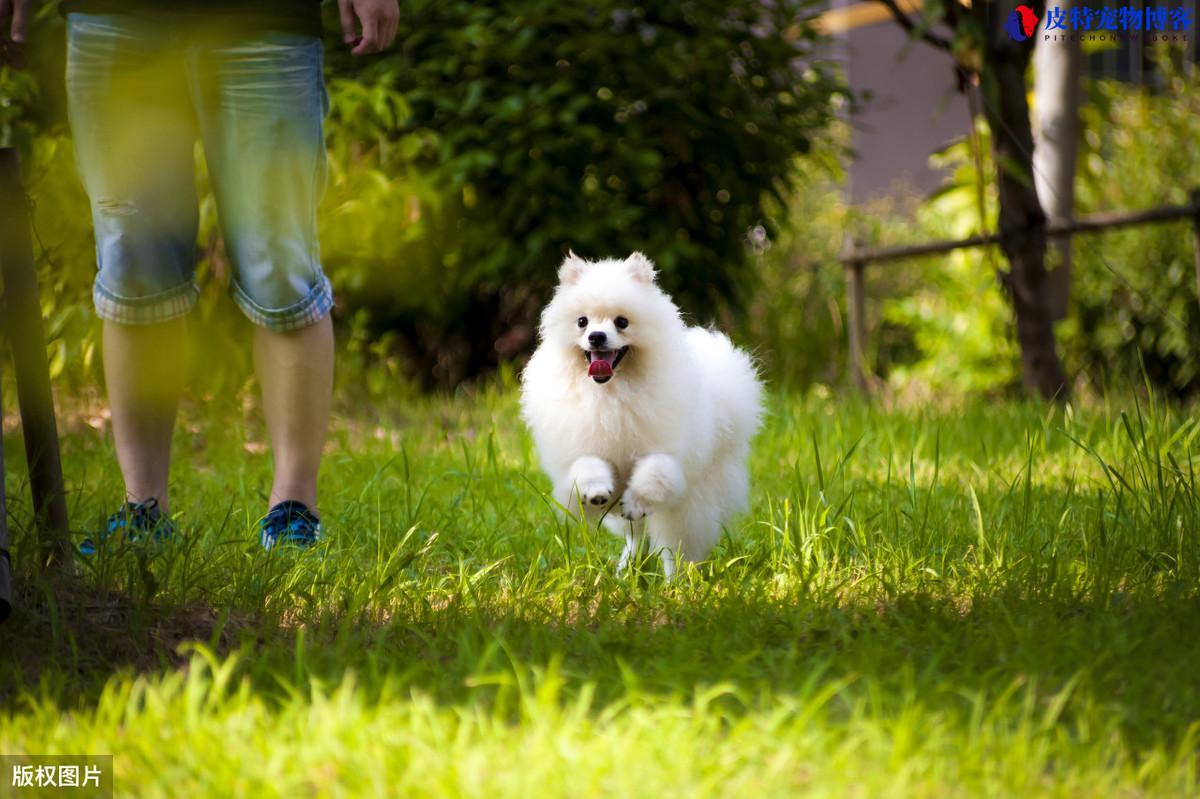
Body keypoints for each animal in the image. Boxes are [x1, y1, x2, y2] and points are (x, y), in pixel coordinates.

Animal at [523, 251, 763, 575]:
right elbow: (587, 466)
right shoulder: (578, 451)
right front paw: (596, 490)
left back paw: (676, 582)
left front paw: (636, 501)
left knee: (676, 549)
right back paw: (626, 570)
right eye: (582, 322)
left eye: (622, 322)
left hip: (690, 507)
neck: (611, 393)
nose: (596, 336)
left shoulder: (667, 454)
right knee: (637, 538)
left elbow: (654, 472)